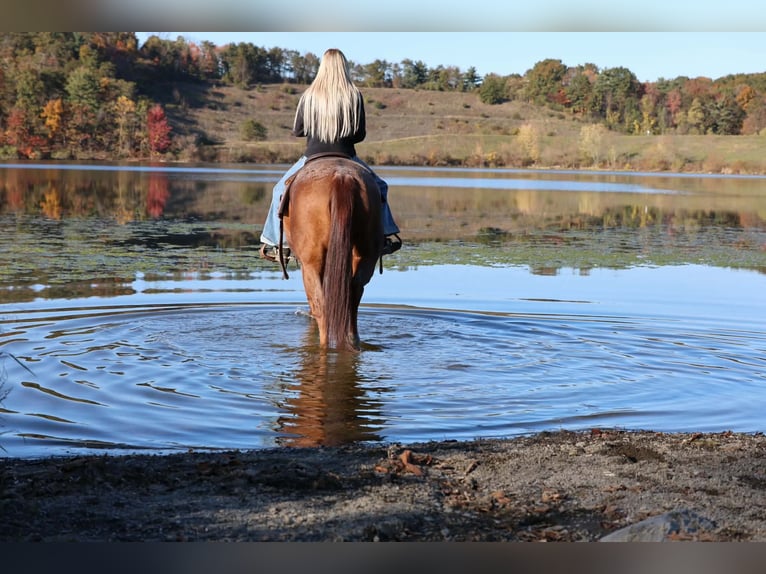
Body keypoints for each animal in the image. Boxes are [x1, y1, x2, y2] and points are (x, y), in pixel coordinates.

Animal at [279, 155, 383, 351]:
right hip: (365, 256)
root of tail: (342, 177)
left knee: (321, 306)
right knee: (353, 294)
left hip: (311, 263)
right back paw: (352, 342)